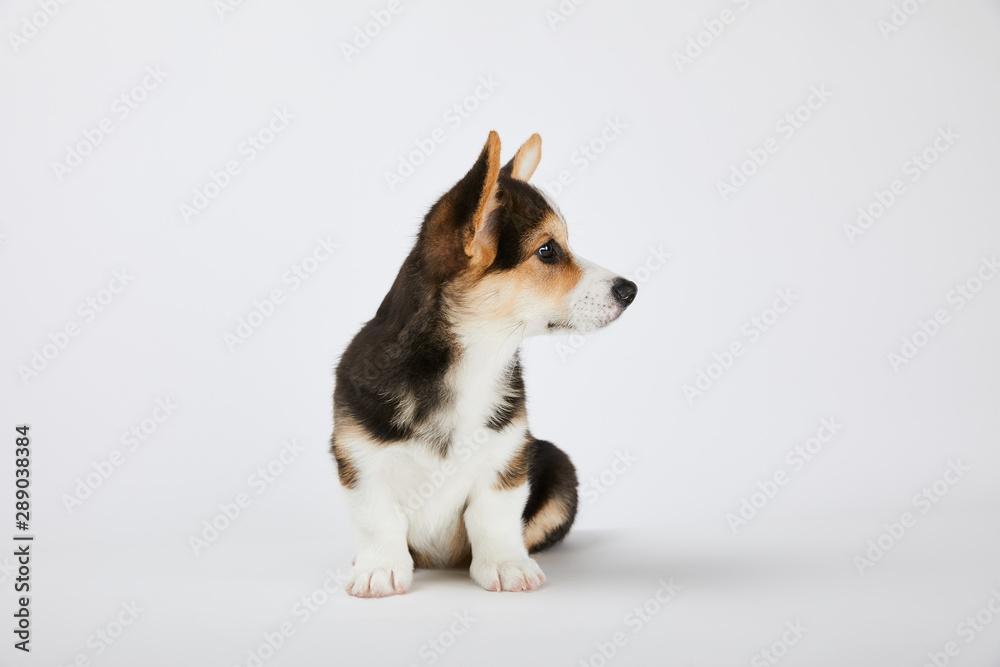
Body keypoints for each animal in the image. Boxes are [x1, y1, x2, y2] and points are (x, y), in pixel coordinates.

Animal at [332, 132, 636, 600]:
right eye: (547, 250)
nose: (631, 290)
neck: (474, 356)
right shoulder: (359, 457)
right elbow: (377, 519)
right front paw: (378, 570)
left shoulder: (507, 457)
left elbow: (492, 516)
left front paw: (507, 566)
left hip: (558, 465)